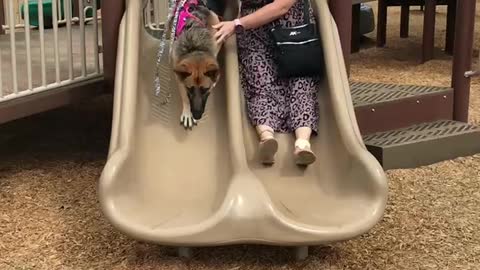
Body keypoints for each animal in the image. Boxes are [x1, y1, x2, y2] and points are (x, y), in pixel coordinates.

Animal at [172, 0, 224, 129]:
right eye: (189, 89)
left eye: (205, 89)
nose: (197, 115)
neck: (195, 46)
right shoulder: (179, 77)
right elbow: (185, 97)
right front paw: (187, 113)